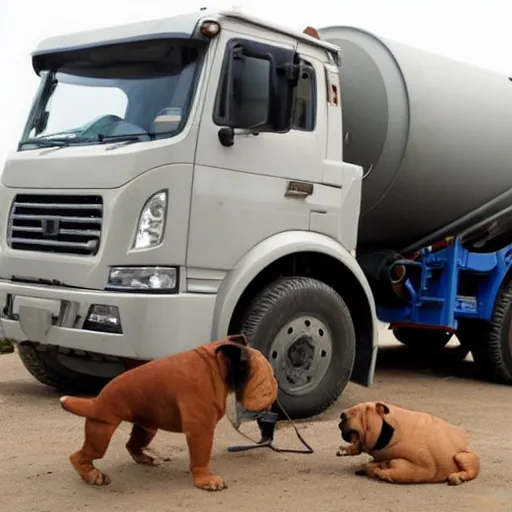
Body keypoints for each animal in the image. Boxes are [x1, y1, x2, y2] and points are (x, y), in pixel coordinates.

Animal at [59, 334, 280, 490]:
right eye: (267, 374)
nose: (275, 383)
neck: (217, 364)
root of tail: (96, 401)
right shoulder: (201, 430)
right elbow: (201, 457)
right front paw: (205, 480)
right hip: (101, 433)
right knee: (79, 456)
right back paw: (92, 476)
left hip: (146, 427)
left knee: (132, 444)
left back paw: (144, 458)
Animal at [336, 402, 480, 486]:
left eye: (355, 412)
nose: (342, 415)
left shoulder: (417, 468)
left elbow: (392, 472)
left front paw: (378, 471)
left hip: (462, 456)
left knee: (470, 471)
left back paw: (457, 476)